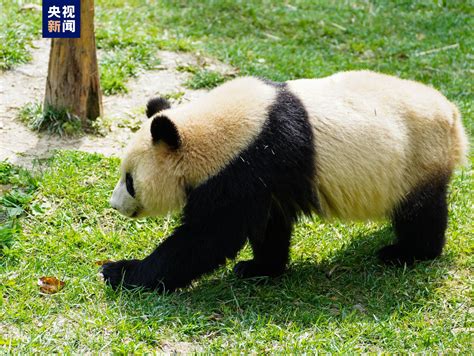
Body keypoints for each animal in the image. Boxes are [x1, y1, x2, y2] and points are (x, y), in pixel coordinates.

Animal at [102, 70, 468, 292]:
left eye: (130, 180)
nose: (115, 205)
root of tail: (453, 115)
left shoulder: (249, 163)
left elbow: (210, 238)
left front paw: (120, 271)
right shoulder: (263, 176)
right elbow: (268, 225)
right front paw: (260, 267)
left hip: (417, 158)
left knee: (420, 212)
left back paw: (407, 253)